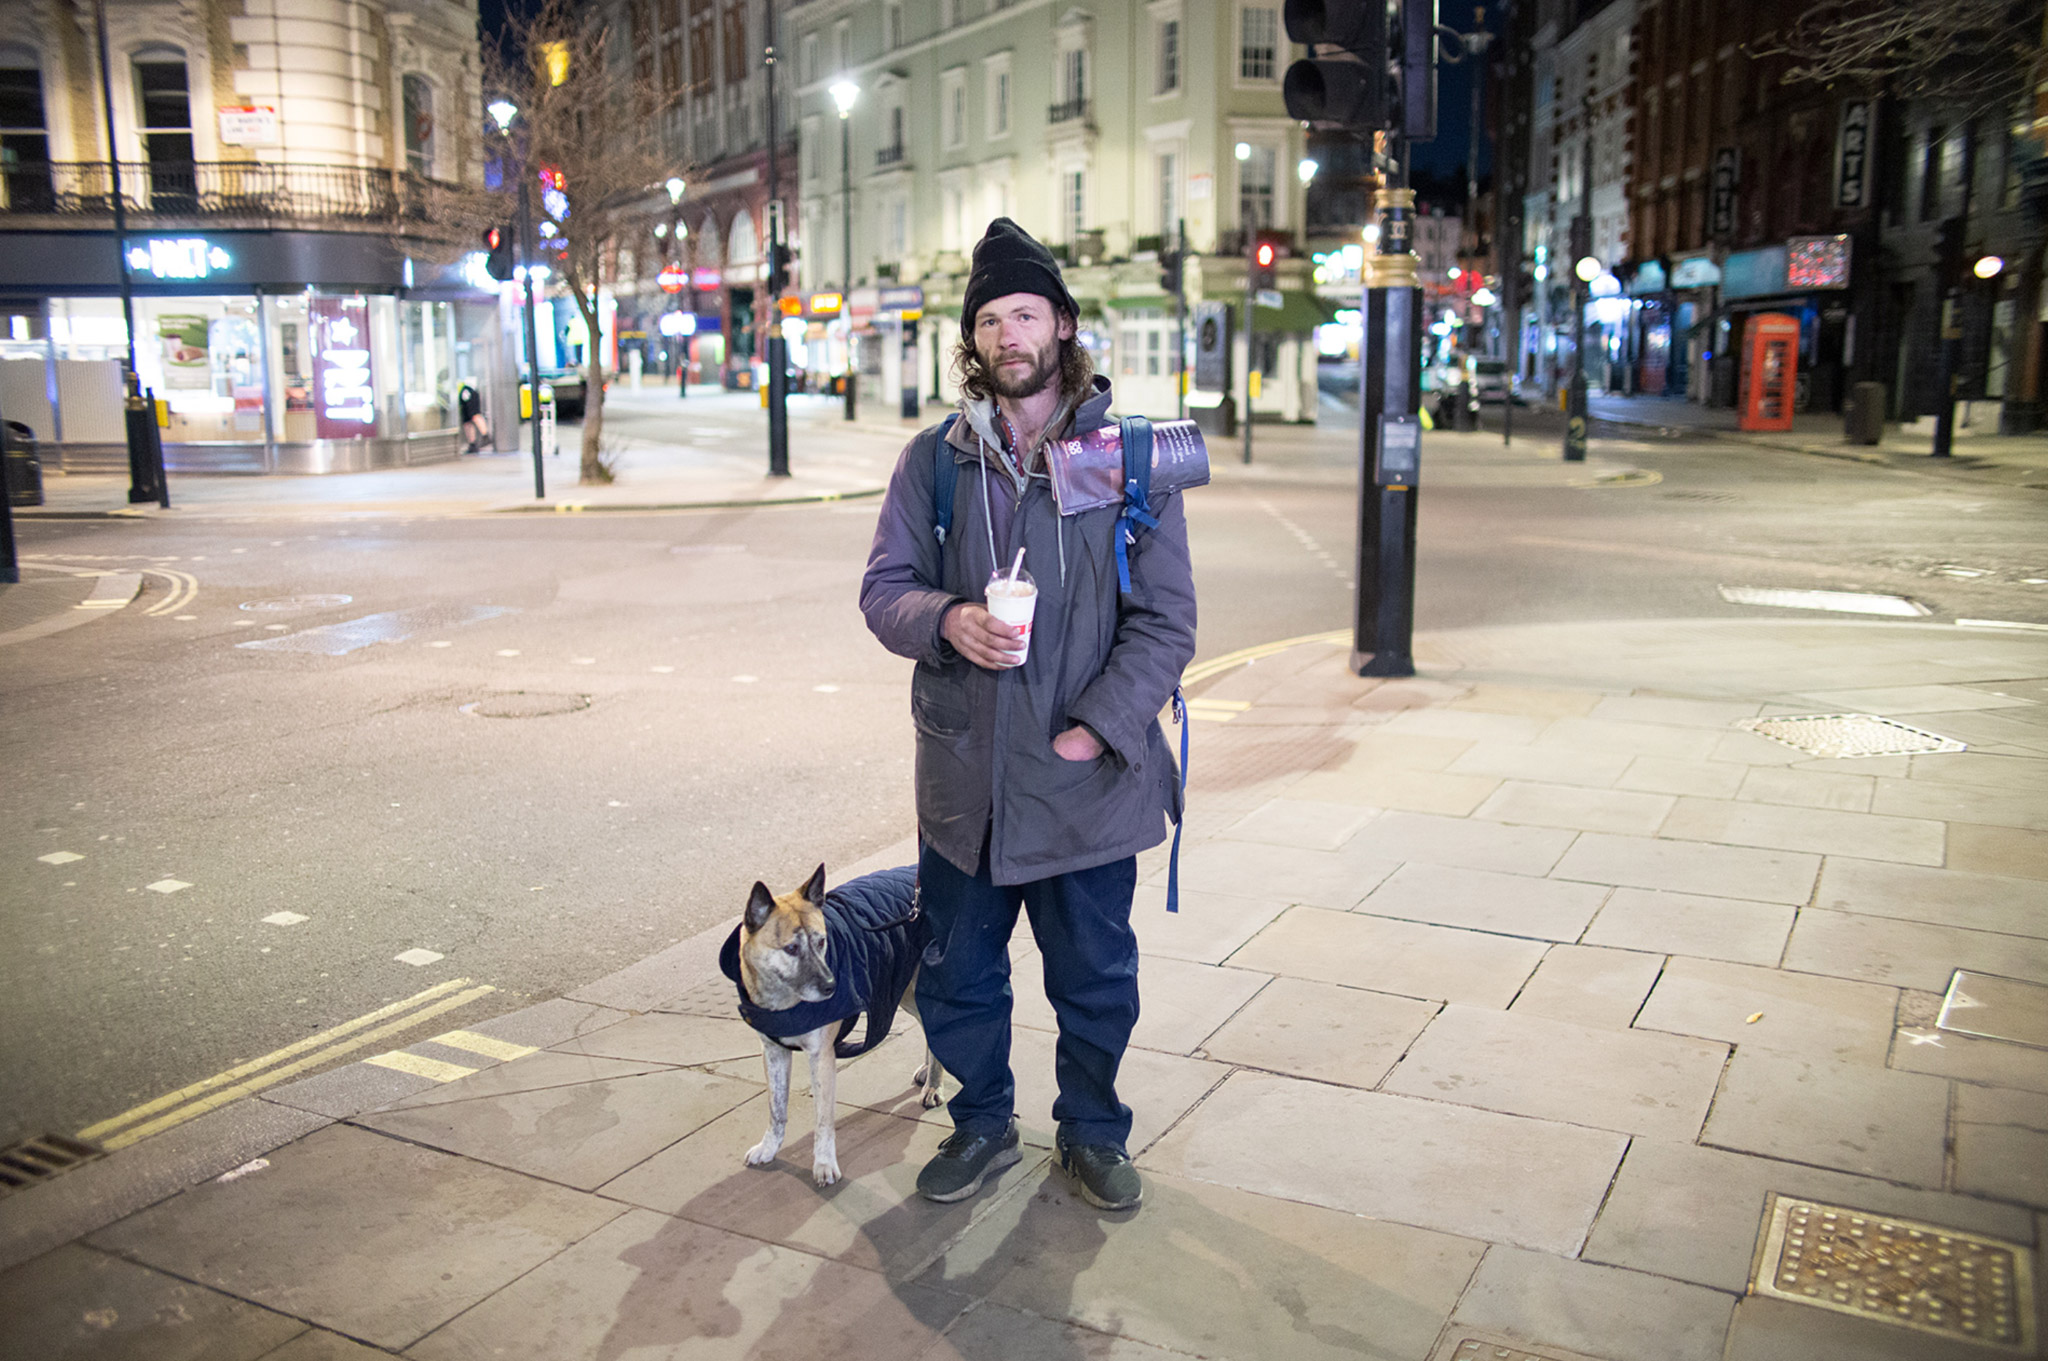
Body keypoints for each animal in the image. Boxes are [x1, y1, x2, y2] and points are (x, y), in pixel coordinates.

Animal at [720, 863, 942, 1187]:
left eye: (821, 941)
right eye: (791, 948)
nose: (831, 985)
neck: (782, 999)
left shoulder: (821, 1056)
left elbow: (823, 1120)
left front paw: (824, 1163)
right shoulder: (773, 1053)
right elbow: (776, 1110)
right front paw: (770, 1147)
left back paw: (934, 1084)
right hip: (903, 990)